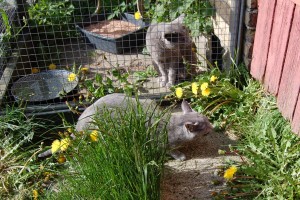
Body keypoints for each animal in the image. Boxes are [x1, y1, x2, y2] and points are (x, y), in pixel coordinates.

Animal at [75, 94, 213, 161]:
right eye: (206, 127)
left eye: (207, 120)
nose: (212, 126)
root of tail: (77, 125)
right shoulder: (160, 143)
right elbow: (169, 150)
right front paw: (180, 155)